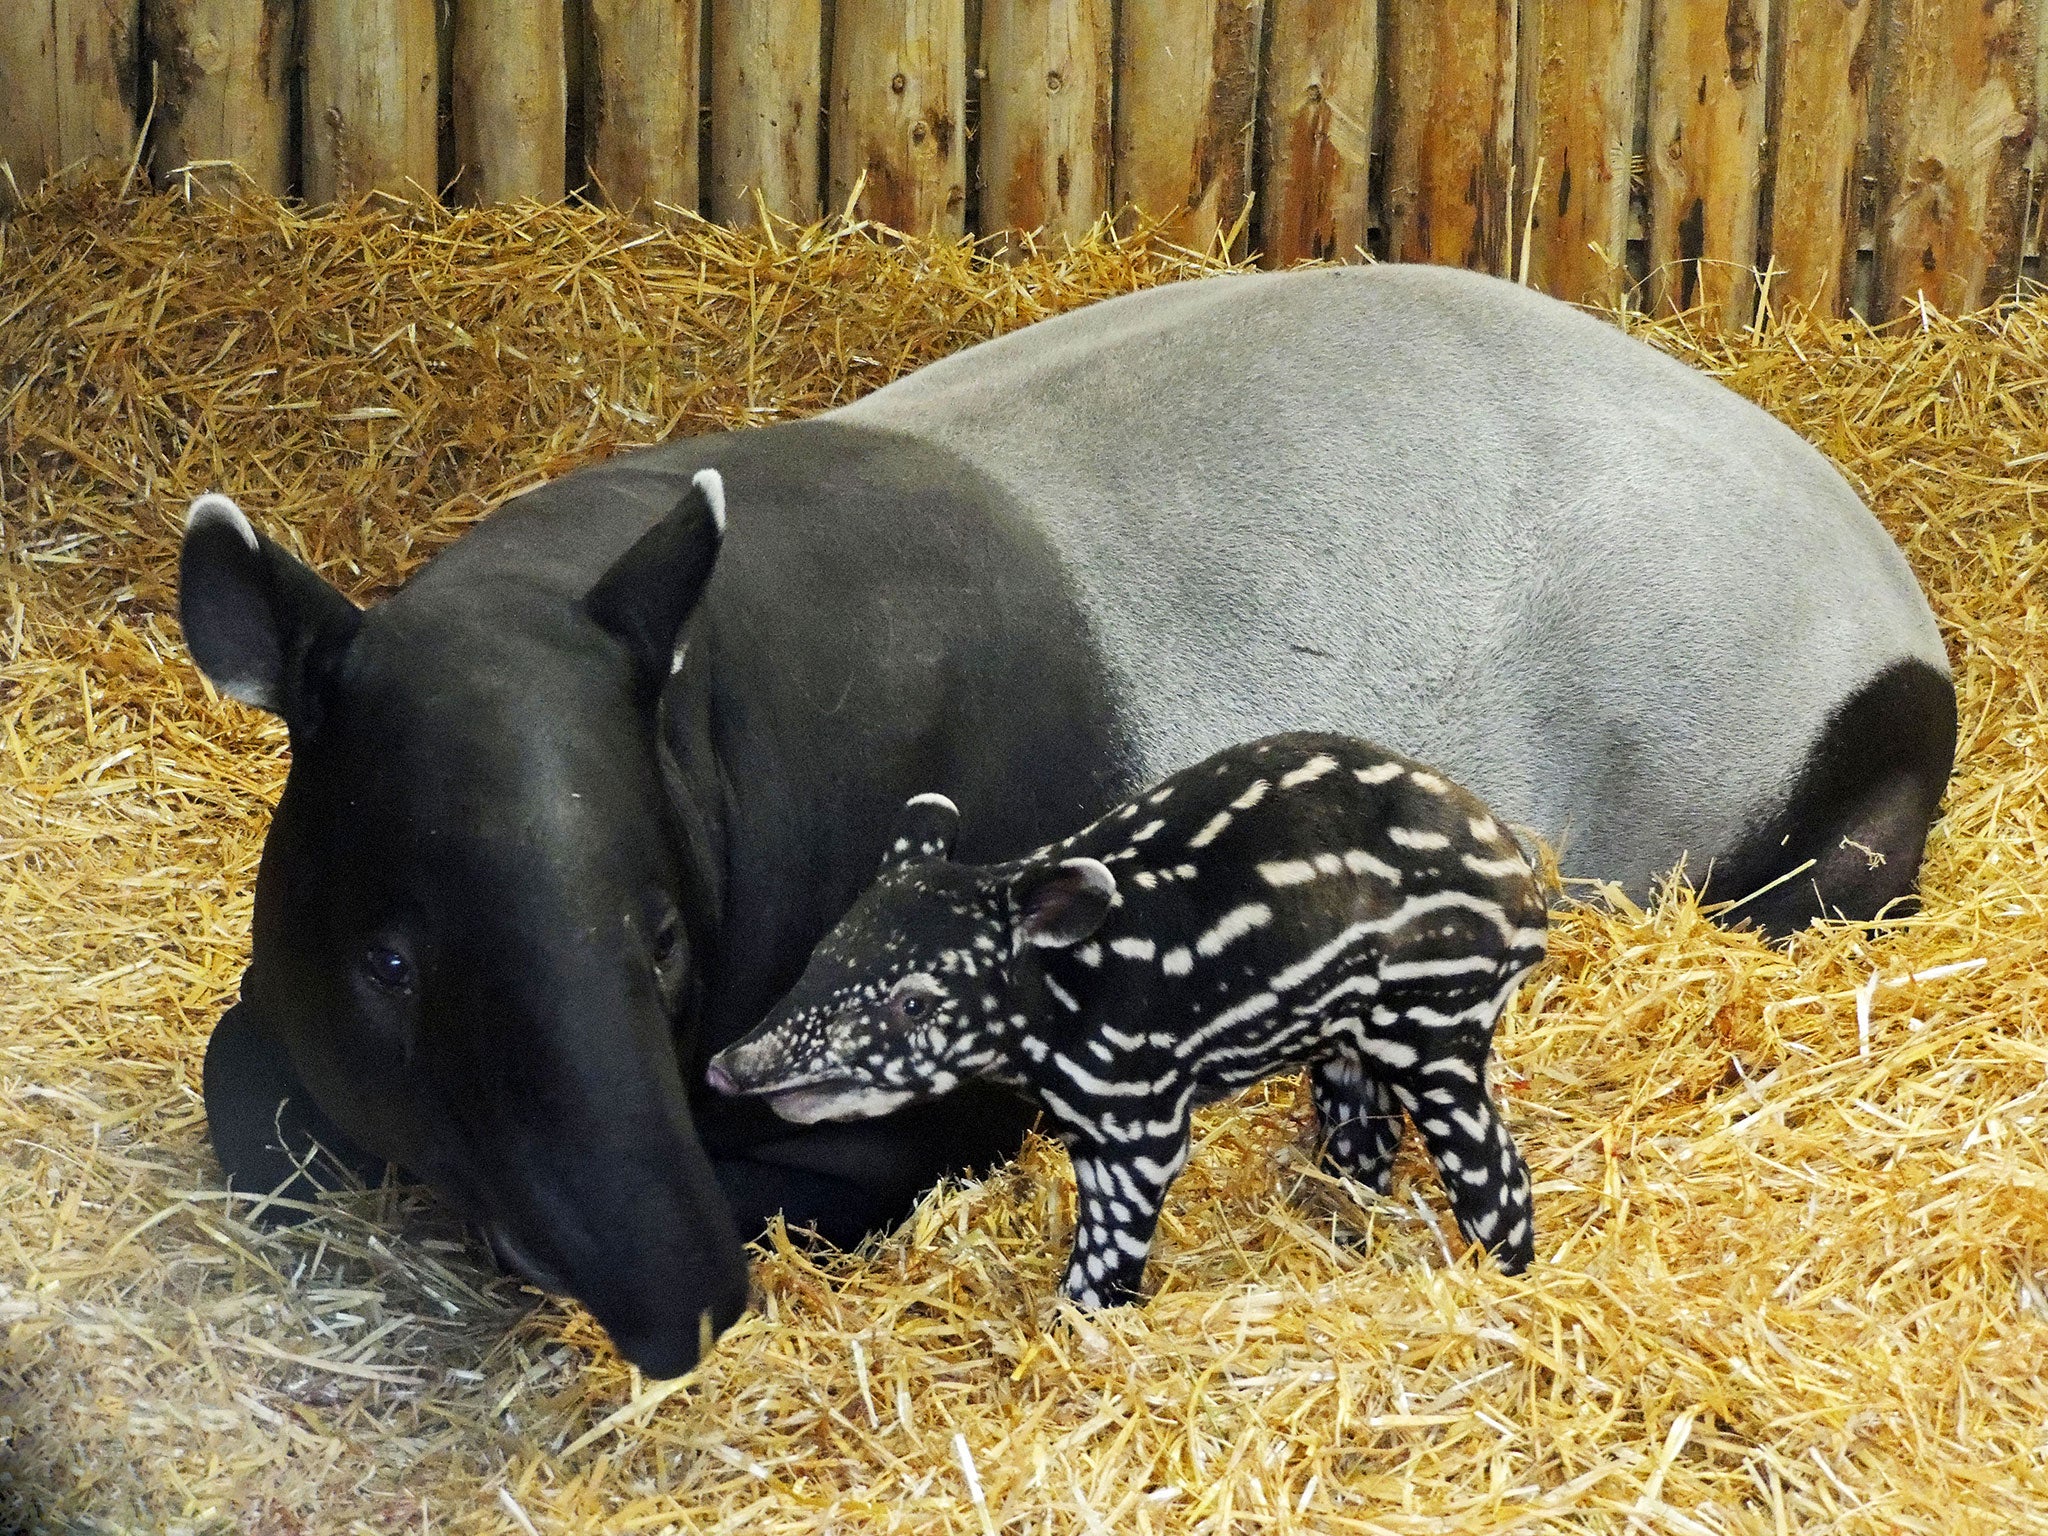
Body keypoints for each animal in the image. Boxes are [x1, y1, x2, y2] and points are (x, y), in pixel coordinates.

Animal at [712, 737, 1540, 1310]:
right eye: (819, 954)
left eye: (914, 1002)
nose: (728, 1067)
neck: (1063, 988)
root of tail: (1525, 883)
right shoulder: (1084, 1120)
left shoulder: (1136, 1114)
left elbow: (1111, 1242)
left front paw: (1076, 1323)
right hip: (1344, 1042)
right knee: (1362, 1146)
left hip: (1435, 1016)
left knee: (1498, 1173)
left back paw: (1505, 1278)